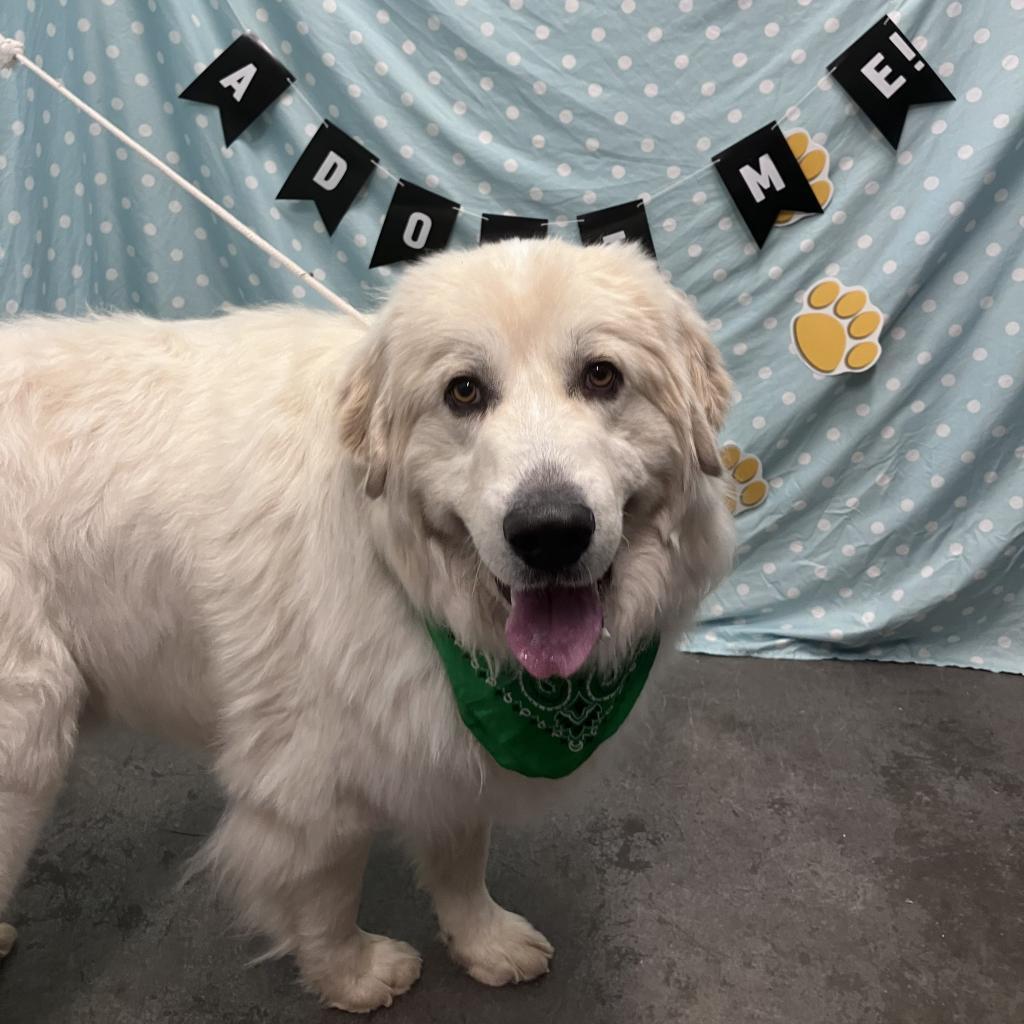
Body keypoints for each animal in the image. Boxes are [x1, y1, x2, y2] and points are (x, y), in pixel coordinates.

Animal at [0, 237, 737, 1007]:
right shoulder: (312, 780)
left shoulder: (443, 739)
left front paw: (482, 941)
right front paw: (351, 975)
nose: (549, 532)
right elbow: (328, 893)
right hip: (28, 740)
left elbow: (462, 854)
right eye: (464, 392)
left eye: (601, 376)